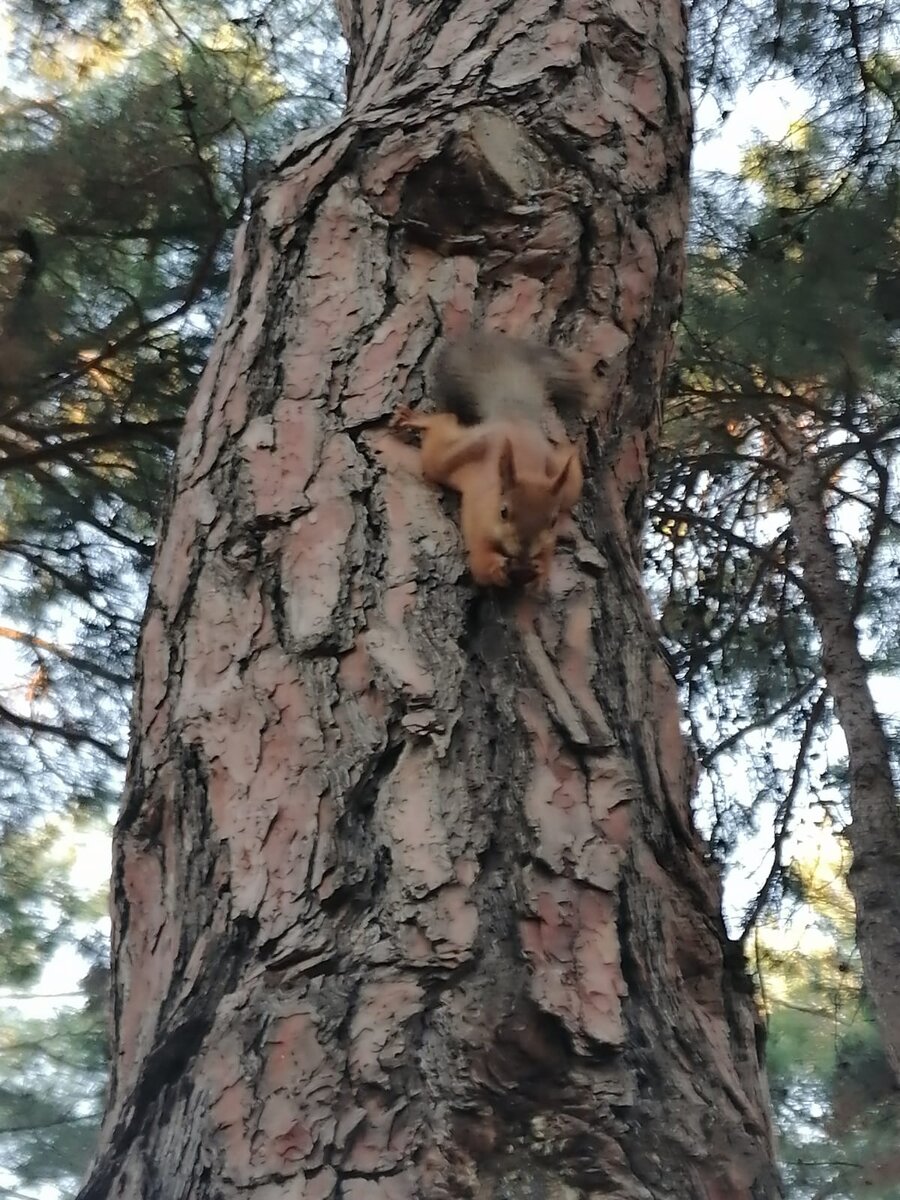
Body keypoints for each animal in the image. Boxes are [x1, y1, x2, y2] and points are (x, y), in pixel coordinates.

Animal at [392, 332, 592, 589]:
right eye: (503, 512)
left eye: (552, 521)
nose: (524, 552)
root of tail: (514, 419)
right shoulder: (478, 524)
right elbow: (480, 563)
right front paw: (494, 568)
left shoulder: (548, 540)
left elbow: (545, 561)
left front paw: (539, 571)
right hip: (451, 455)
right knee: (444, 424)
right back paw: (418, 419)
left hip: (568, 485)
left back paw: (571, 448)